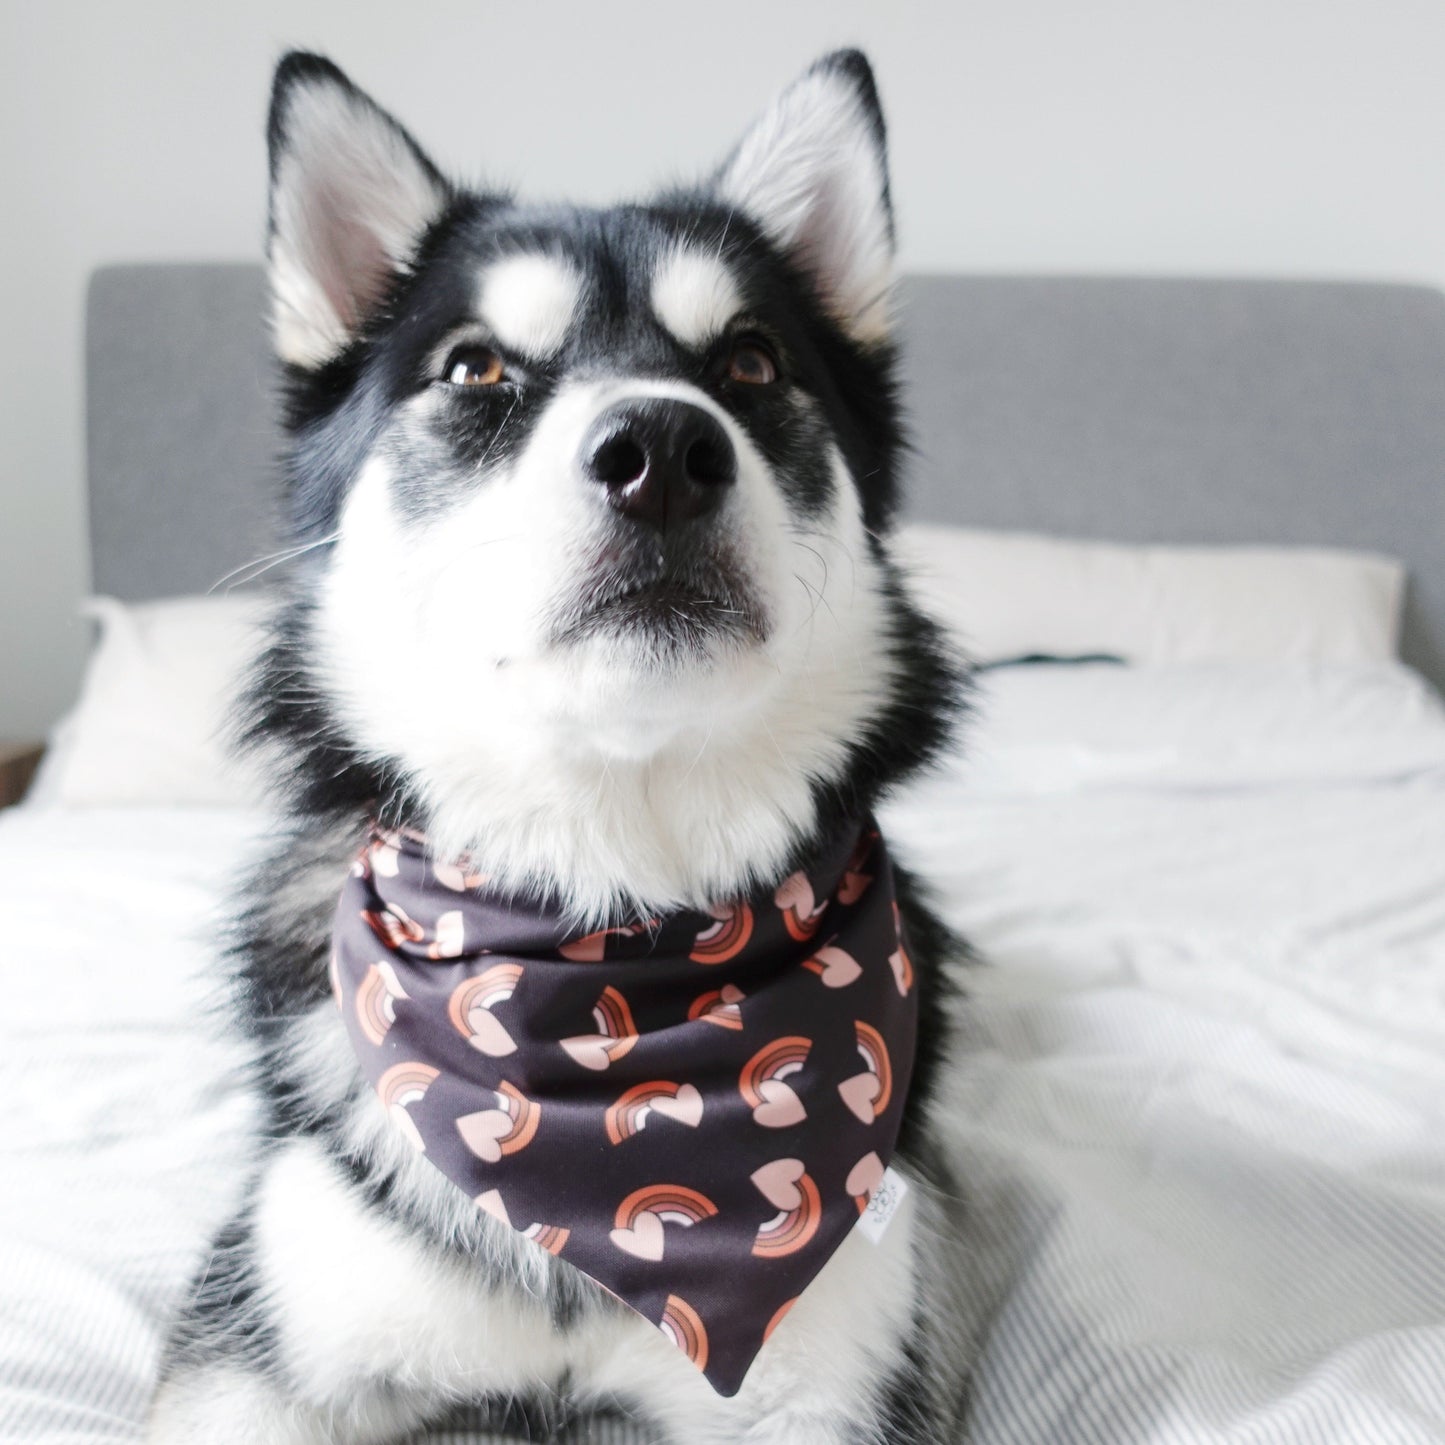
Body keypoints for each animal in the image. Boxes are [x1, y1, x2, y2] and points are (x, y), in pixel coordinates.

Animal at [146, 45, 971, 1445]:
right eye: (477, 371)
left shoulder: (834, 1386)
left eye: (752, 365)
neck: (610, 923)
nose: (663, 453)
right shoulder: (248, 1351)